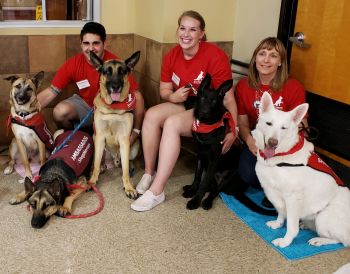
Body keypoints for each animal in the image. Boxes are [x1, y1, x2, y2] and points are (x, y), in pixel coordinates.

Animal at [183, 74, 276, 215]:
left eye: (214, 101)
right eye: (203, 97)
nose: (204, 112)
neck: (207, 125)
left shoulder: (213, 160)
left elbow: (204, 183)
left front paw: (195, 201)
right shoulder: (200, 153)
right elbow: (198, 175)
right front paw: (192, 189)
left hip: (231, 175)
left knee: (216, 190)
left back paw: (207, 202)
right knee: (212, 186)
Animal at [253, 92, 348, 248]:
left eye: (284, 128)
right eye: (269, 124)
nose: (273, 142)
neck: (280, 158)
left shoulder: (293, 198)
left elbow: (292, 226)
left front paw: (286, 241)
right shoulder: (272, 191)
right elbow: (280, 212)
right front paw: (278, 224)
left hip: (323, 216)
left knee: (342, 241)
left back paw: (319, 240)